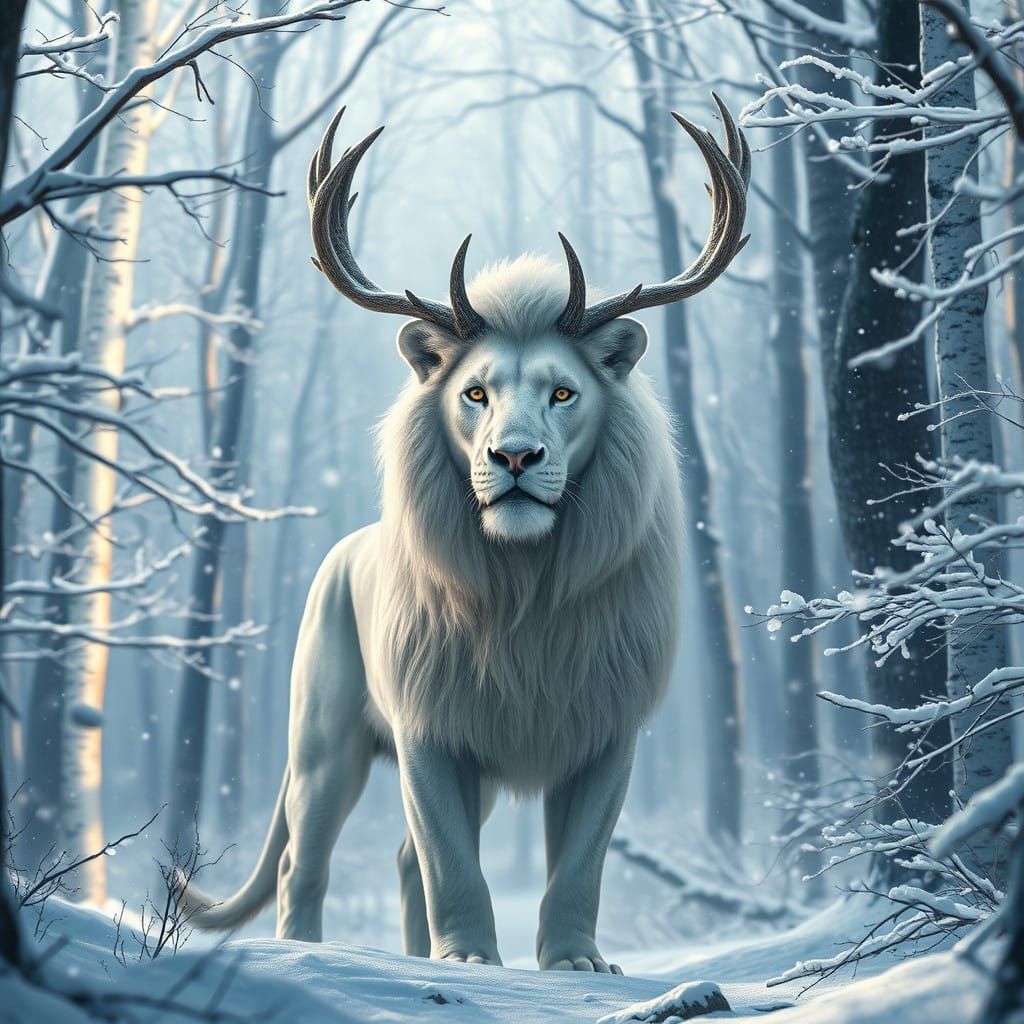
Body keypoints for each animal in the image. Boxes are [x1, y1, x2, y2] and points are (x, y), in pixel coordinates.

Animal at [181, 99, 749, 973]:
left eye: (563, 392)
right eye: (475, 392)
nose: (514, 457)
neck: (527, 594)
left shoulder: (607, 729)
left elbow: (579, 861)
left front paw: (574, 961)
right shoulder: (431, 730)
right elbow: (450, 861)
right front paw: (471, 960)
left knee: (399, 859)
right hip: (323, 743)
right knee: (302, 862)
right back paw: (308, 955)